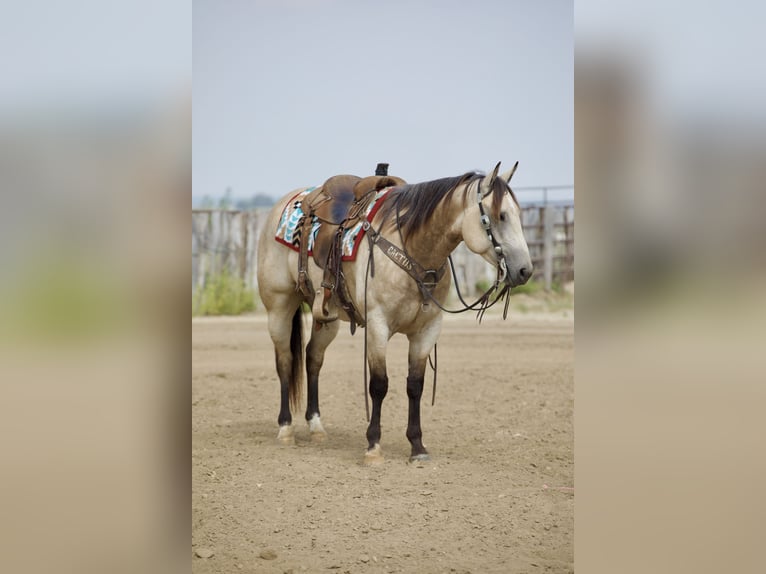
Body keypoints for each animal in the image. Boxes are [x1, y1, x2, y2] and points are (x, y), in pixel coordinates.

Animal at [256, 162, 533, 463]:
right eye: (500, 215)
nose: (525, 270)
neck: (414, 247)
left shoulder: (428, 329)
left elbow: (415, 385)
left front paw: (417, 446)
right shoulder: (378, 325)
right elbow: (379, 384)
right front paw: (373, 446)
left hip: (326, 318)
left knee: (312, 360)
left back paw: (316, 426)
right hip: (279, 307)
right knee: (285, 361)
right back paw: (286, 428)